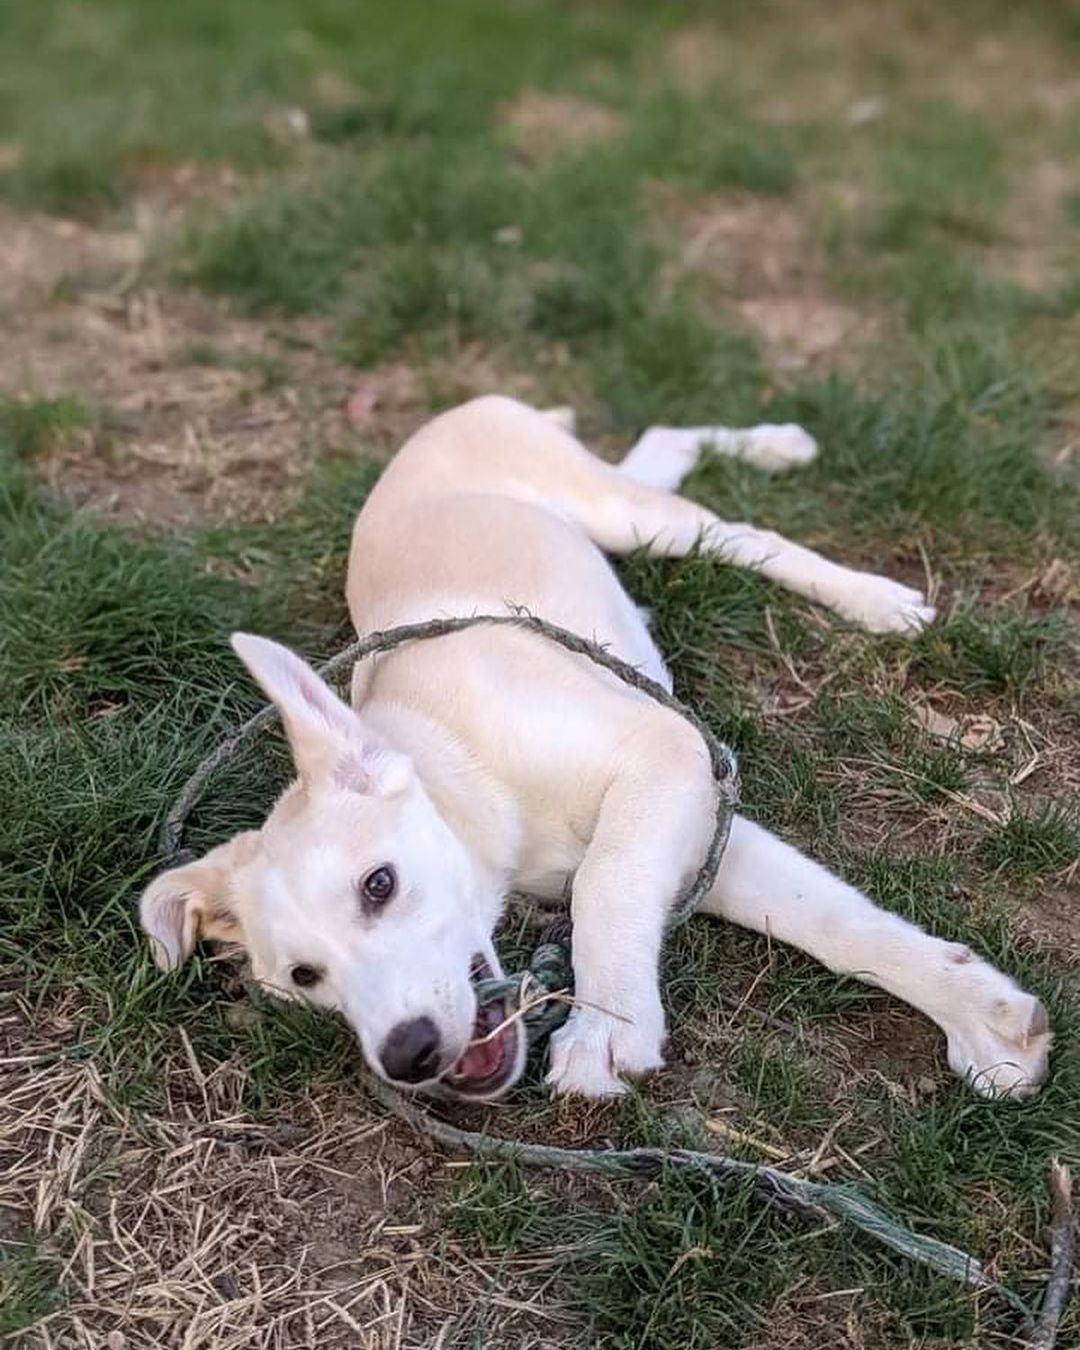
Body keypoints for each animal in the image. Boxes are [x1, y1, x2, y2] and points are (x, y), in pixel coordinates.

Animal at [139, 394, 1053, 1101]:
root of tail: (453, 410)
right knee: (665, 446)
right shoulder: (701, 832)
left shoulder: (670, 761)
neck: (471, 767)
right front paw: (985, 1016)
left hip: (627, 517)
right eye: (302, 978)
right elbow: (838, 923)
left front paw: (607, 1025)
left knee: (742, 533)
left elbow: (605, 889)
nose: (409, 1057)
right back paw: (776, 447)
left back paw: (868, 594)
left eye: (379, 885)